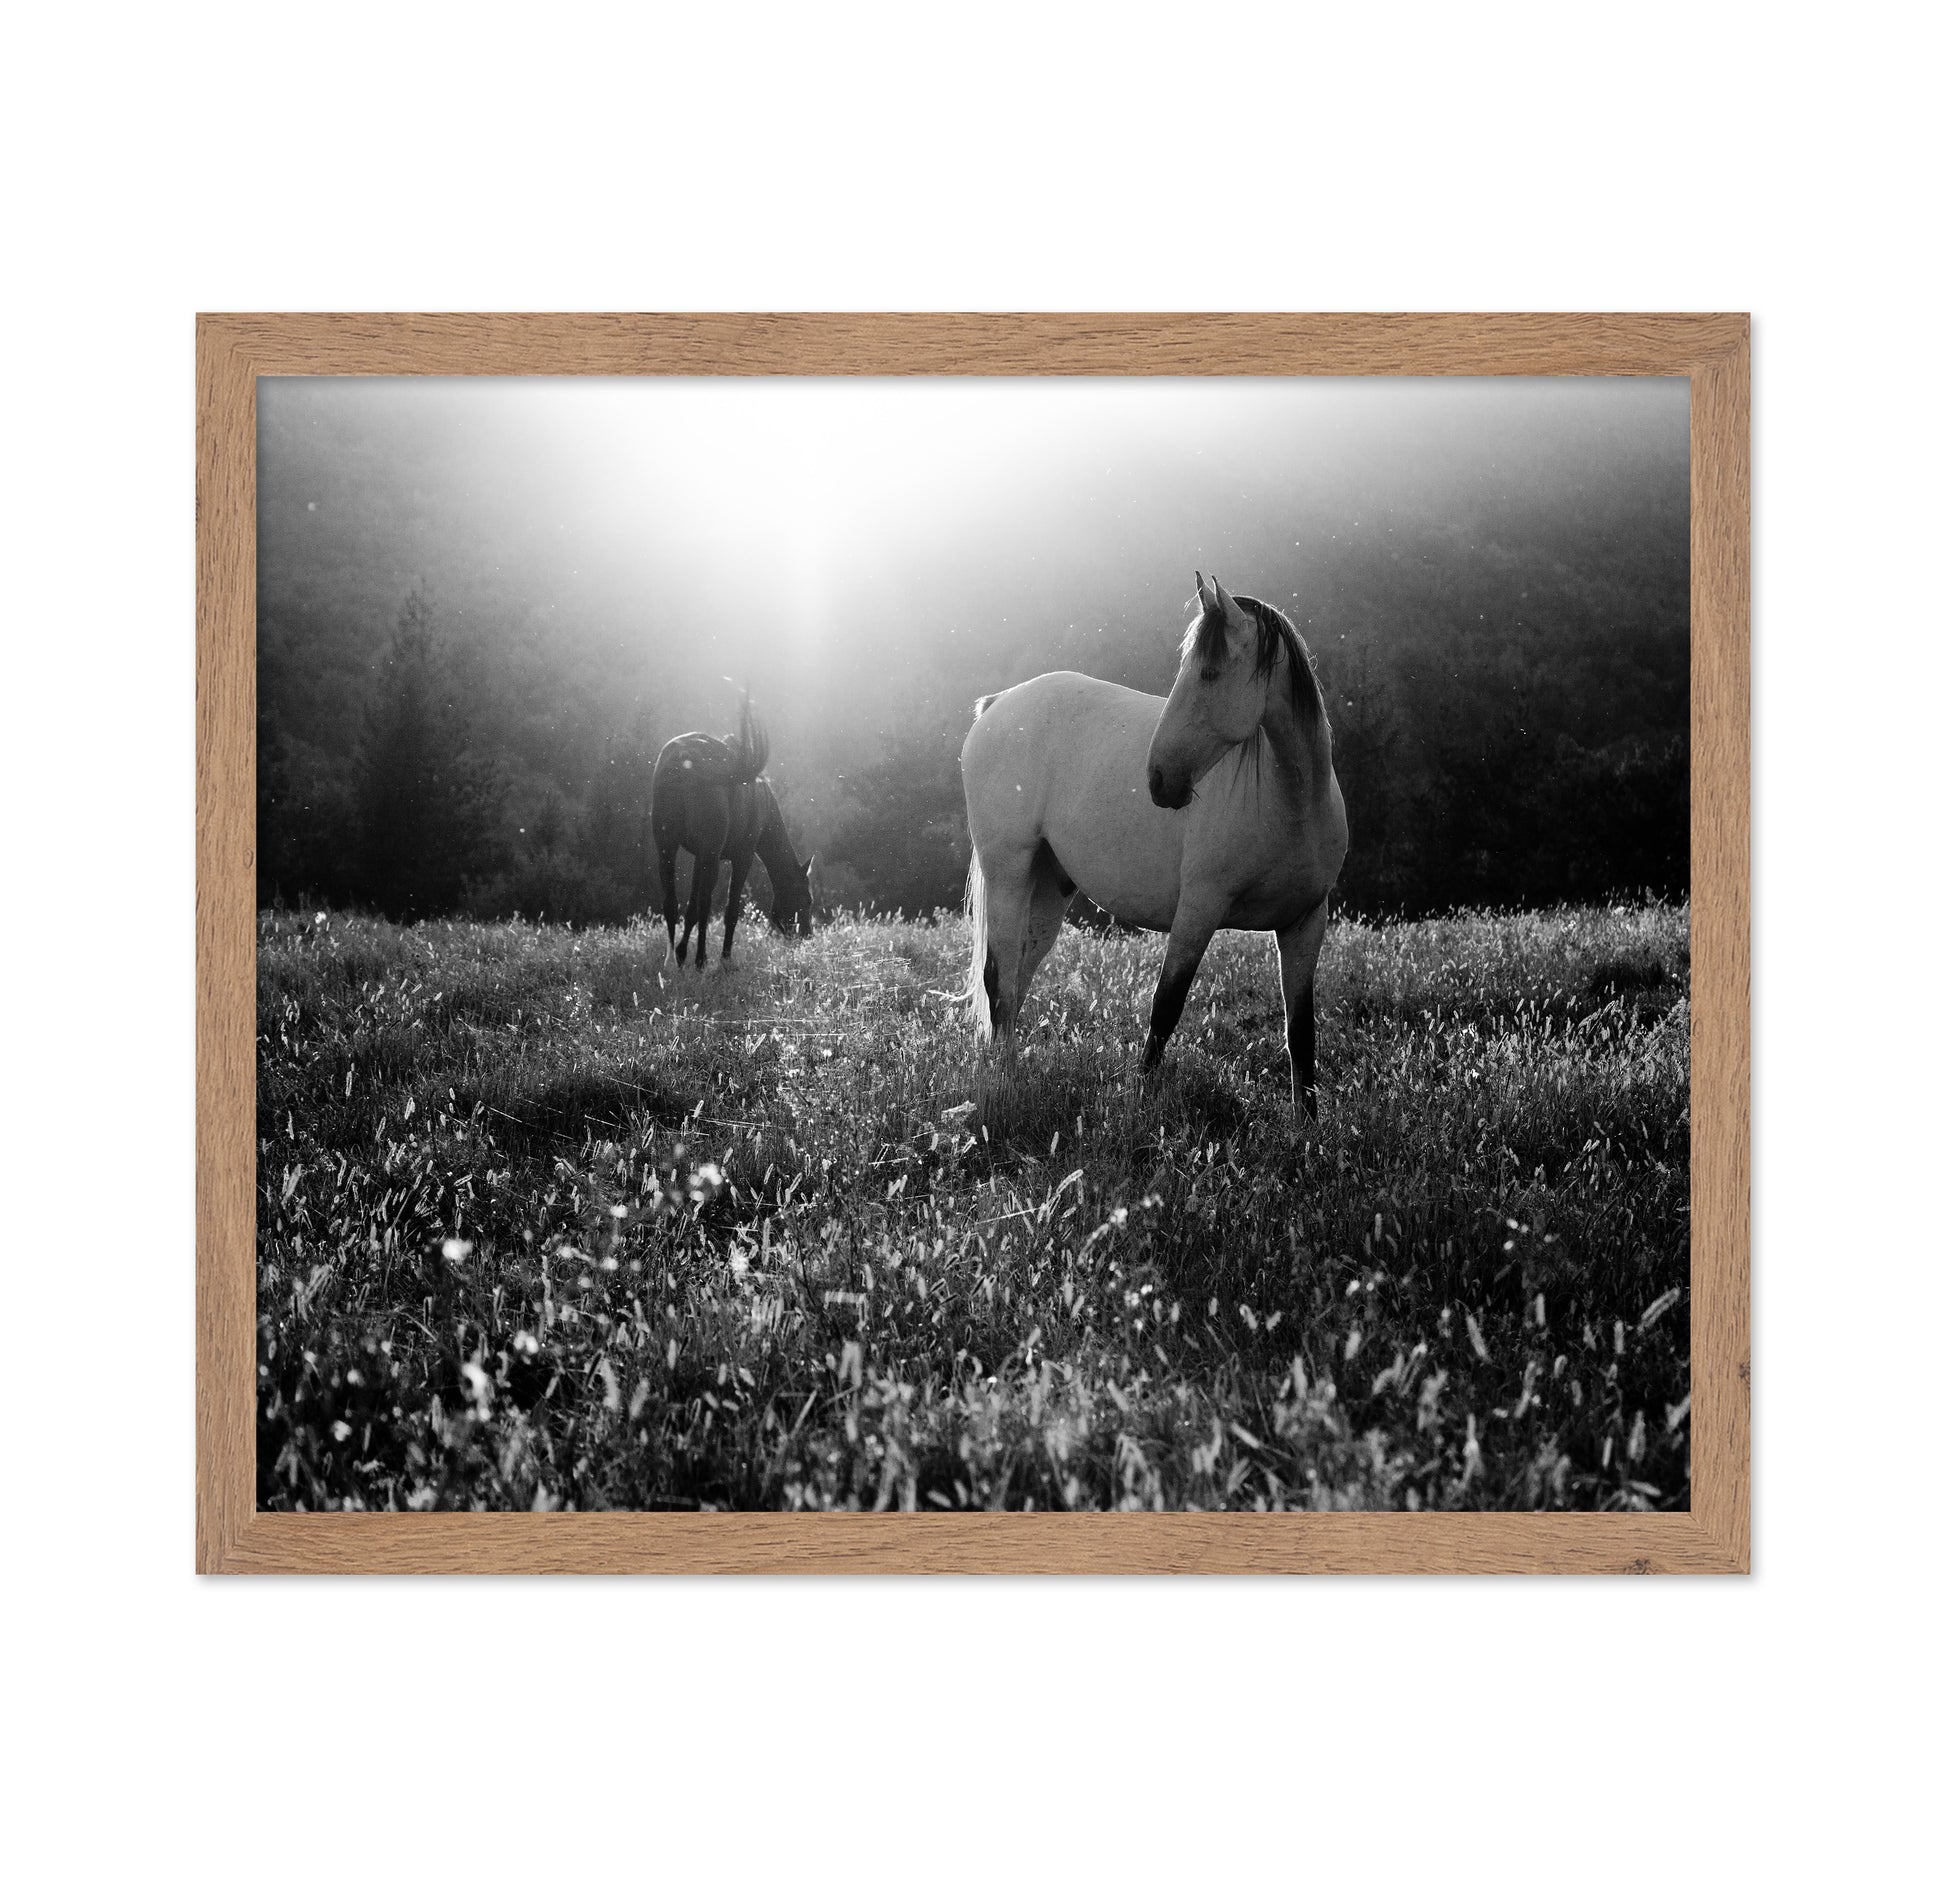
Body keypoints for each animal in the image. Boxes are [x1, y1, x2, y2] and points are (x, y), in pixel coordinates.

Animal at [650, 695, 816, 968]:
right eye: (806, 898)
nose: (807, 936)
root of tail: (683, 761)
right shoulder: (741, 857)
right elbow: (730, 910)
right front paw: (725, 960)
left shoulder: (701, 856)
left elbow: (691, 908)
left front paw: (682, 953)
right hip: (708, 852)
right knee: (706, 904)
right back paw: (701, 960)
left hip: (667, 846)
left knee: (671, 903)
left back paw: (670, 962)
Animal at [959, 573, 1348, 1116]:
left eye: (1208, 673)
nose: (1159, 780)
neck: (1291, 802)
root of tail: (998, 705)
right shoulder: (1199, 910)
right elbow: (1165, 1009)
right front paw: (1140, 1106)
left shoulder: (1305, 924)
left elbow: (1302, 1034)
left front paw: (1307, 1128)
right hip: (1008, 874)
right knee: (999, 980)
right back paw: (1001, 1087)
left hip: (1048, 889)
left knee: (1015, 983)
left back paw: (1009, 1078)